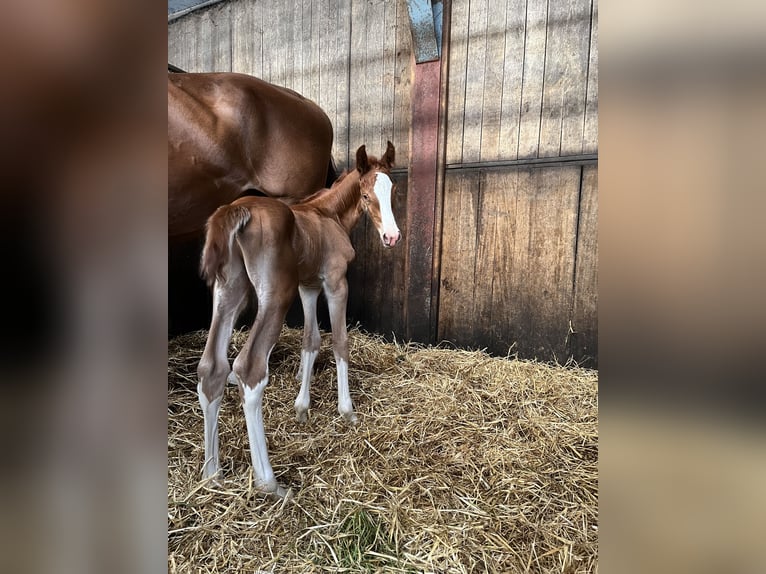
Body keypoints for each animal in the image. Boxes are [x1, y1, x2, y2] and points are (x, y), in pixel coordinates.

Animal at [196, 142, 402, 498]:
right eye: (365, 195)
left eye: (392, 190)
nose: (392, 236)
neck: (328, 215)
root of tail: (238, 211)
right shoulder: (335, 283)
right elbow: (339, 341)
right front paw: (347, 412)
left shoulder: (308, 287)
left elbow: (311, 341)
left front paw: (302, 408)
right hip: (276, 294)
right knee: (249, 369)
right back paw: (269, 484)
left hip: (229, 289)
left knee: (212, 368)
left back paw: (212, 475)